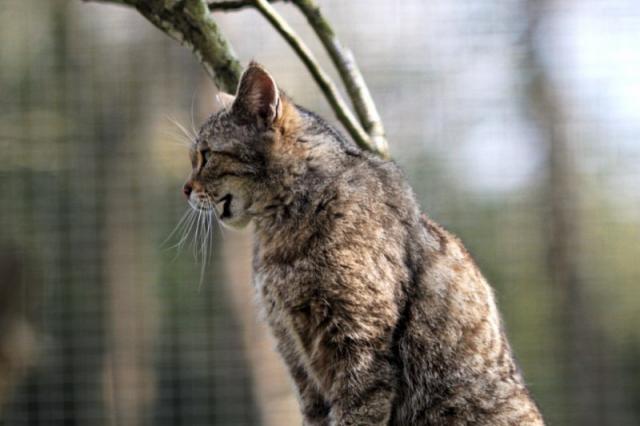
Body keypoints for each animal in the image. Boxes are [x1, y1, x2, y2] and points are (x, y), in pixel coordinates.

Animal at [184, 63, 544, 426]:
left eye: (206, 156)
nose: (185, 189)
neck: (282, 226)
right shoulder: (295, 356)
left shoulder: (359, 342)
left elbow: (356, 412)